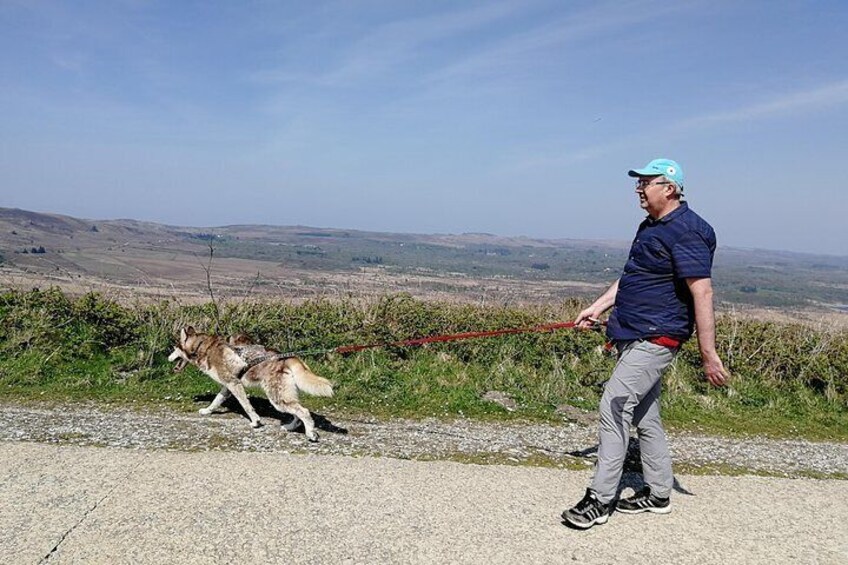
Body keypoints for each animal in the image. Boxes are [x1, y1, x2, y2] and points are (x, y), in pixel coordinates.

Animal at [167, 326, 332, 440]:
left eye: (174, 348)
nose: (168, 358)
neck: (203, 347)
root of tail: (286, 357)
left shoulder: (234, 385)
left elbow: (247, 406)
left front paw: (256, 422)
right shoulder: (227, 386)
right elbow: (216, 400)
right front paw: (207, 411)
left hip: (276, 398)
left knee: (304, 411)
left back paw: (310, 433)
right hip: (283, 397)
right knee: (298, 412)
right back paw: (291, 427)